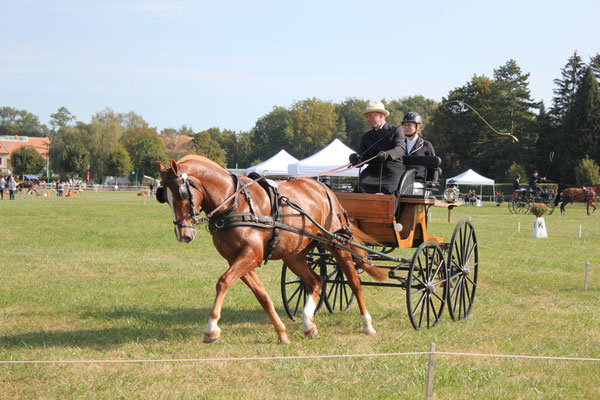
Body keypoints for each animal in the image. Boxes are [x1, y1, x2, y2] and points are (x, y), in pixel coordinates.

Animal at [157, 156, 386, 344]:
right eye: (164, 197)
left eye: (182, 194)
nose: (183, 234)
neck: (234, 203)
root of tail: (324, 188)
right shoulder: (237, 259)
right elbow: (262, 296)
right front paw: (282, 333)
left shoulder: (251, 256)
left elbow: (223, 282)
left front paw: (211, 329)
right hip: (294, 255)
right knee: (315, 281)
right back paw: (308, 324)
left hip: (338, 244)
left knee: (354, 281)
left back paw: (367, 324)